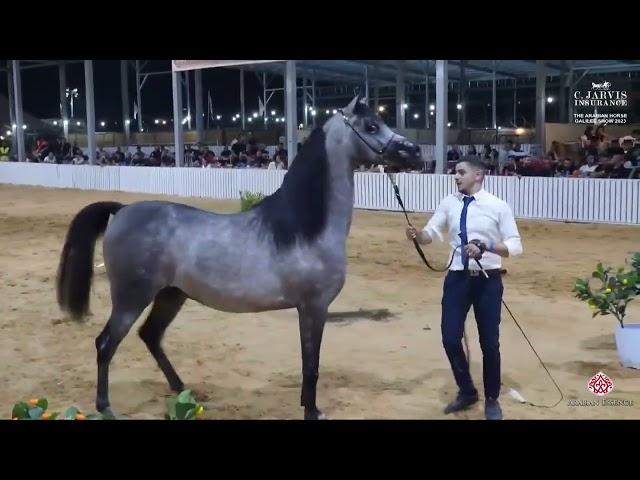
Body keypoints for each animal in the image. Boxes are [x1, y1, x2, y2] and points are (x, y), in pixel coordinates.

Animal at [56, 94, 420, 420]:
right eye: (371, 126)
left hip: (171, 295)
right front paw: (313, 412)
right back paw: (106, 407)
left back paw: (183, 389)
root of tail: (121, 210)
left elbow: (309, 365)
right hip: (132, 299)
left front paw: (308, 405)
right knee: (105, 344)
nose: (413, 151)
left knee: (150, 336)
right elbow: (311, 366)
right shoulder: (313, 308)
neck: (305, 227)